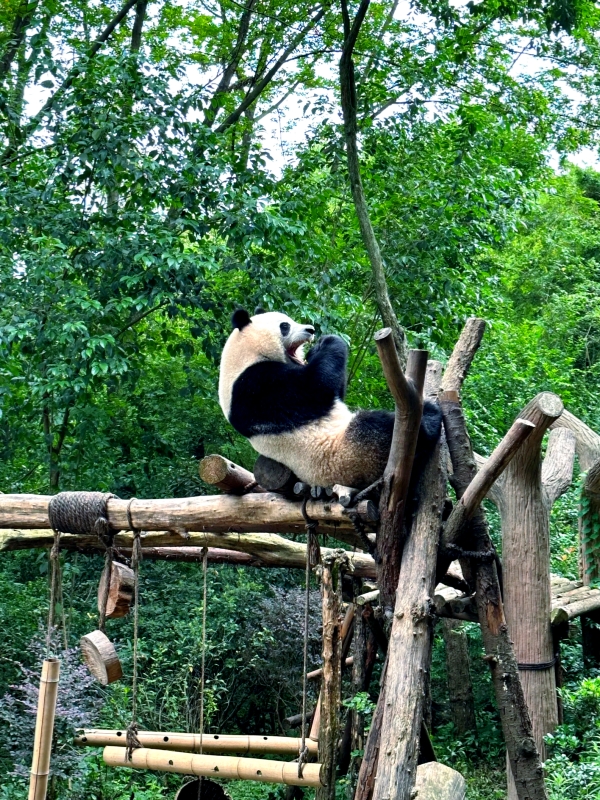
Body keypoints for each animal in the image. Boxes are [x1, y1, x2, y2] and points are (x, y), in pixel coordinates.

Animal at [218, 308, 442, 490]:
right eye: (284, 326)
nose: (310, 329)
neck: (243, 357)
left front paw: (316, 348)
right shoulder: (255, 387)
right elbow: (315, 386)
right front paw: (329, 340)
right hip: (352, 456)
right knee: (377, 426)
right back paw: (430, 418)